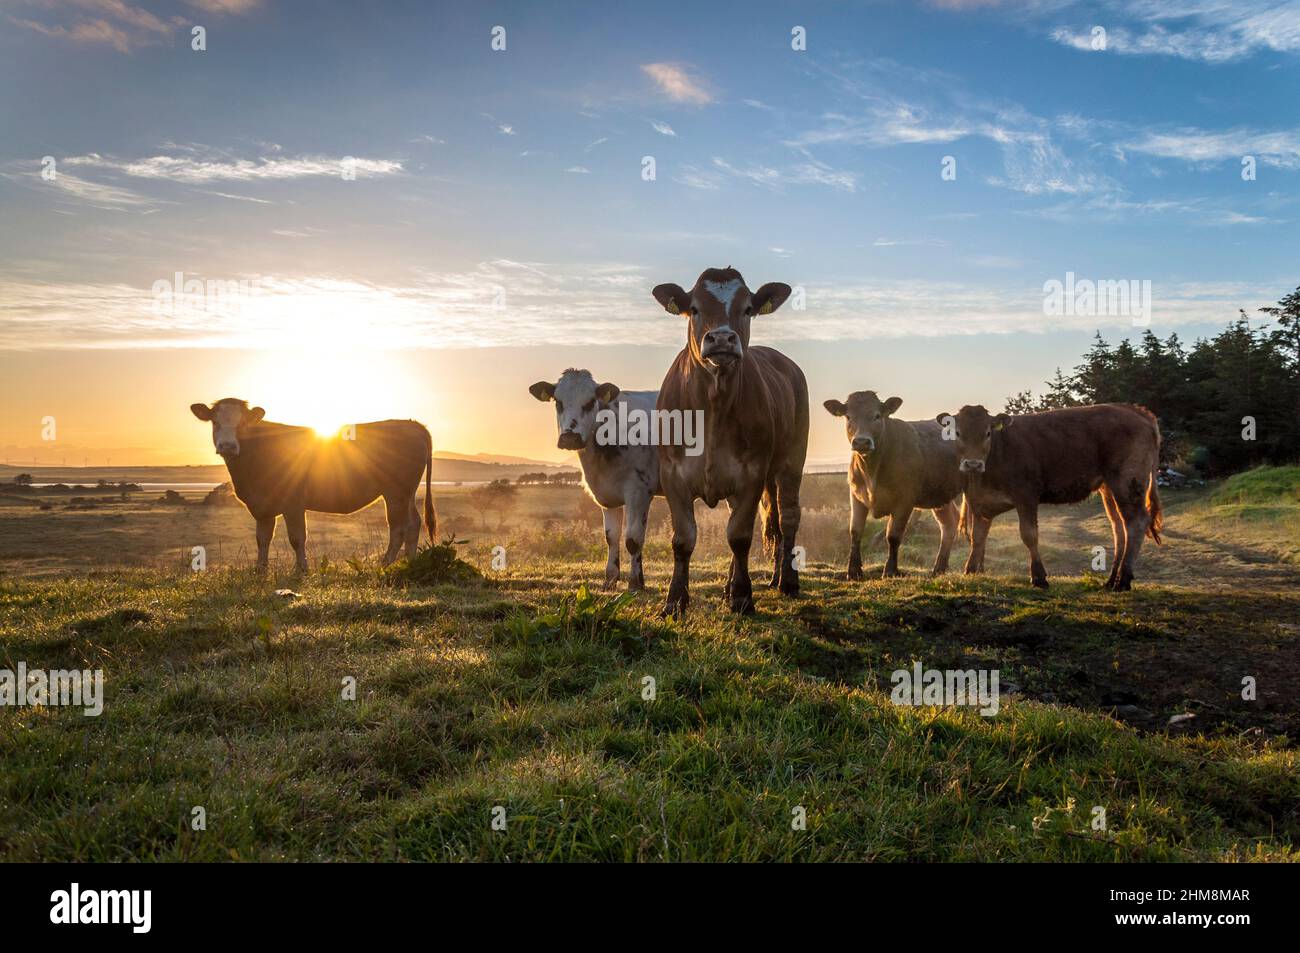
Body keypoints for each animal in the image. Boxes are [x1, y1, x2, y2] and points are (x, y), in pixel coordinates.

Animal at [189, 397, 439, 569]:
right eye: (214, 421)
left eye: (243, 424)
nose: (228, 446)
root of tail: (413, 424)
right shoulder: (262, 506)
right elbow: (262, 539)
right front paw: (260, 570)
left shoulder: (293, 503)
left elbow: (297, 537)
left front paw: (301, 569)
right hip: (407, 492)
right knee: (413, 523)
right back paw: (410, 562)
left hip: (395, 492)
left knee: (398, 528)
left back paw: (385, 564)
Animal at [530, 369, 665, 587]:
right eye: (558, 401)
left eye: (590, 401)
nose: (570, 438)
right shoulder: (607, 495)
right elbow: (611, 536)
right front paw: (610, 579)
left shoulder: (639, 492)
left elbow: (633, 539)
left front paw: (636, 583)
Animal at [655, 265, 806, 616]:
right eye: (694, 308)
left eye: (747, 309)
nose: (722, 338)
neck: (713, 405)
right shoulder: (672, 473)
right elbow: (683, 539)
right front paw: (675, 600)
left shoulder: (752, 473)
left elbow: (739, 537)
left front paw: (742, 596)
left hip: (791, 462)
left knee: (788, 518)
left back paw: (787, 582)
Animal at [821, 387, 967, 579]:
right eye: (848, 416)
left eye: (877, 415)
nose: (861, 441)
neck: (872, 472)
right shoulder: (856, 496)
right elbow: (855, 531)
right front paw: (853, 571)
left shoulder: (904, 501)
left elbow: (893, 535)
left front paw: (890, 570)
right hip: (940, 495)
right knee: (949, 524)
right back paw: (938, 569)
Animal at [935, 400, 1170, 587]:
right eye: (957, 433)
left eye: (987, 433)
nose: (972, 464)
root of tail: (1134, 410)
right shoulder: (979, 501)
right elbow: (978, 537)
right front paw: (970, 570)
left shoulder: (1026, 496)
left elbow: (1029, 535)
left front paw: (1038, 576)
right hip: (1109, 487)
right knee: (1118, 527)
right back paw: (1112, 580)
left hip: (1127, 481)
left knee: (1135, 523)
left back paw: (1123, 580)